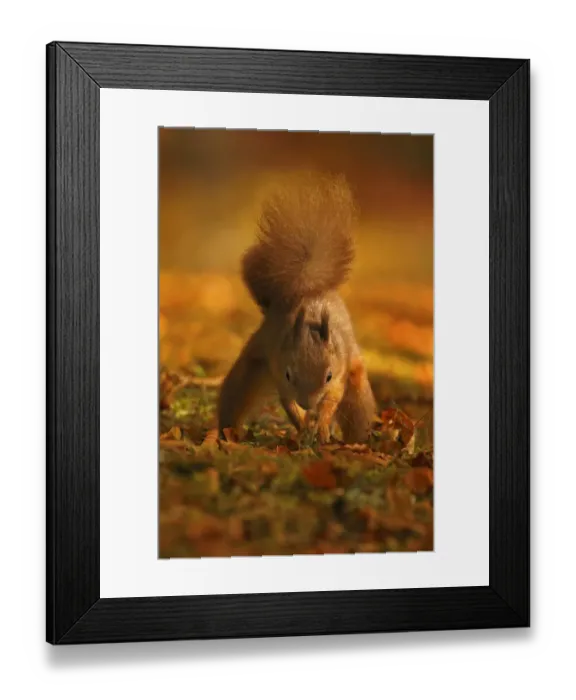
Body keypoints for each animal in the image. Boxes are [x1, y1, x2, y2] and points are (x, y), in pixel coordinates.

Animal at [217, 174, 376, 445]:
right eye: (290, 374)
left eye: (328, 375)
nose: (307, 404)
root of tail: (306, 287)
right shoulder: (278, 368)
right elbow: (287, 403)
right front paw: (303, 426)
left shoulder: (340, 371)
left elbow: (332, 400)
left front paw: (321, 426)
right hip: (253, 363)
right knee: (237, 393)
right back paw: (228, 432)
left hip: (356, 380)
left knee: (356, 405)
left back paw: (356, 439)